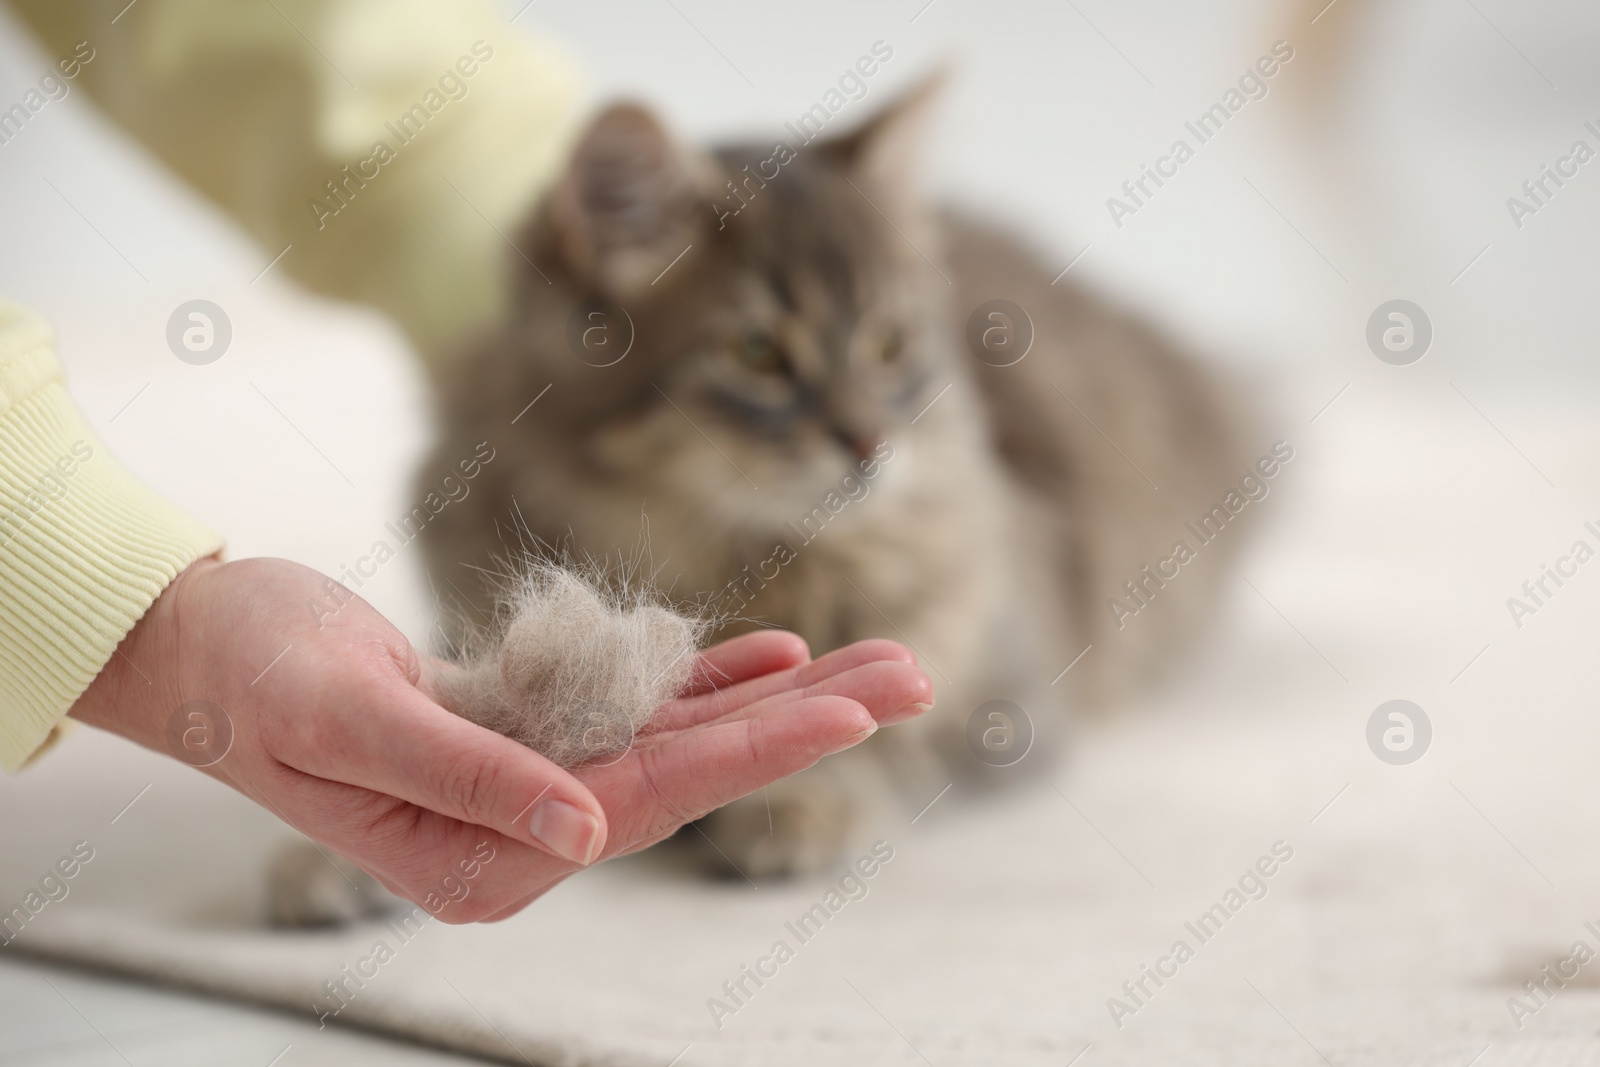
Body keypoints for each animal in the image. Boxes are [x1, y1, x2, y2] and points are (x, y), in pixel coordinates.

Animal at [419, 81, 1254, 876]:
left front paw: (792, 809)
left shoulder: (1007, 704)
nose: (869, 441)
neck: (745, 559)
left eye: (889, 343)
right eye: (757, 350)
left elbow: (872, 750)